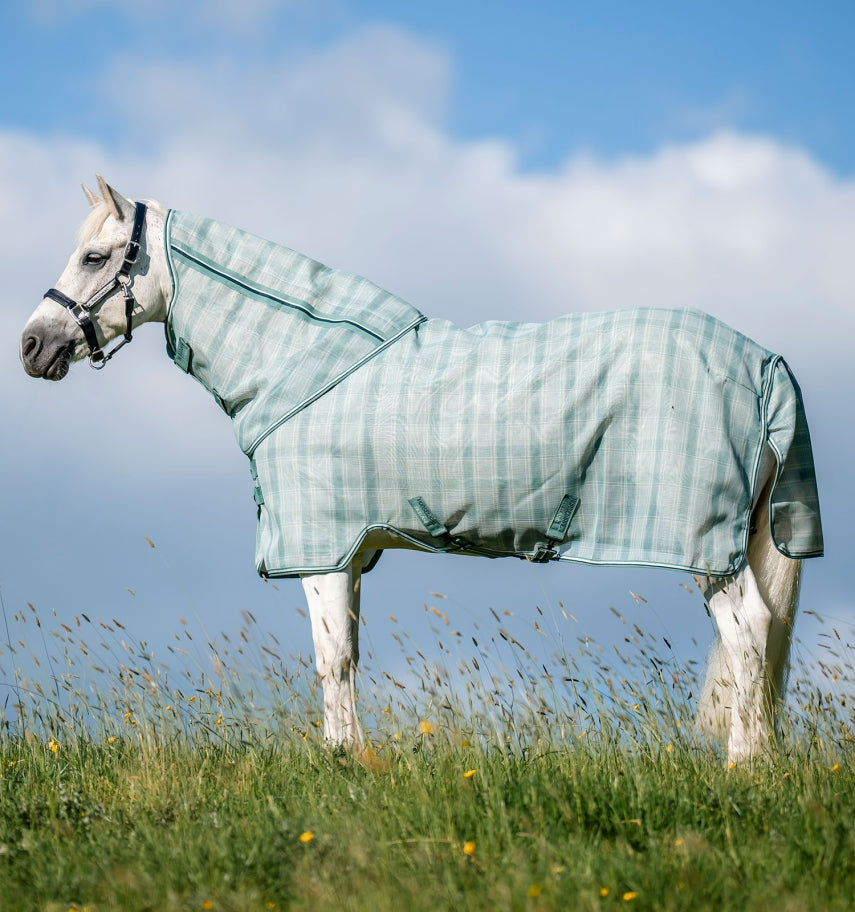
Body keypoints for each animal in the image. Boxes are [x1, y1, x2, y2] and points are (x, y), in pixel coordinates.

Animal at [20, 176, 823, 764]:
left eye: (95, 259)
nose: (33, 345)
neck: (305, 363)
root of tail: (761, 362)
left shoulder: (320, 548)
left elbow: (330, 660)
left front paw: (339, 759)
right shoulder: (352, 553)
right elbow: (347, 654)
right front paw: (353, 757)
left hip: (706, 549)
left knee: (750, 633)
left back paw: (743, 766)